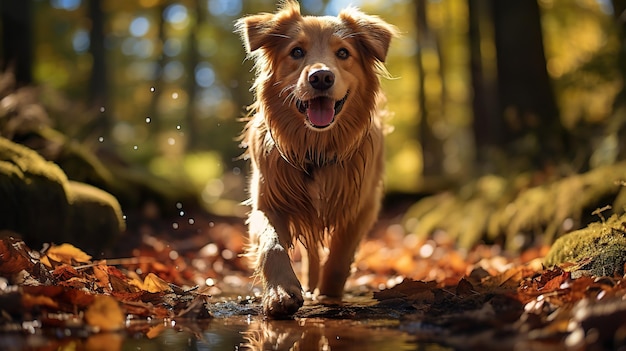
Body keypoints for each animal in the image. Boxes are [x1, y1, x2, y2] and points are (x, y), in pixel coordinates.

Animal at [234, 0, 394, 320]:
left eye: (343, 53)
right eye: (297, 51)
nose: (321, 77)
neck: (316, 148)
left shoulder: (362, 206)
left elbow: (341, 254)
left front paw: (329, 295)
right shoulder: (269, 203)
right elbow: (272, 245)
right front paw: (281, 293)